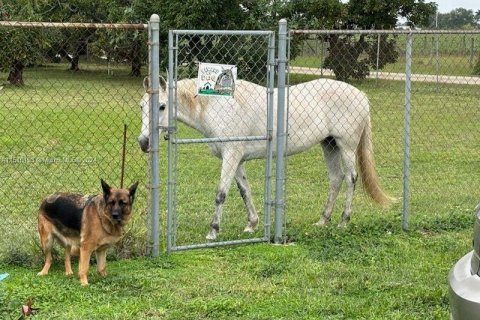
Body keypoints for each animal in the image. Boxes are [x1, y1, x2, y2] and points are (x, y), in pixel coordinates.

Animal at [138, 76, 394, 239]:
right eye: (142, 106)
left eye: (162, 106)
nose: (143, 142)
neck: (219, 107)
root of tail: (360, 94)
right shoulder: (237, 159)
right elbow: (244, 191)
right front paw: (251, 225)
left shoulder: (231, 156)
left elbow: (221, 194)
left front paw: (213, 231)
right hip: (328, 144)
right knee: (335, 178)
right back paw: (323, 220)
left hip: (346, 146)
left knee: (350, 178)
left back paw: (343, 221)